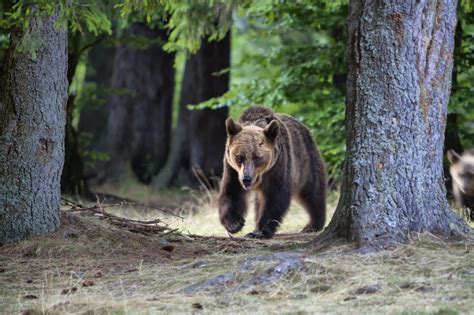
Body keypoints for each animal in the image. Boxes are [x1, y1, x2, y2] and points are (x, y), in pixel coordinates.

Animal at [218, 106, 326, 239]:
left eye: (257, 157)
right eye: (239, 157)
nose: (246, 179)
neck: (260, 176)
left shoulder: (278, 166)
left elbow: (275, 197)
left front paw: (261, 231)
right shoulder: (232, 170)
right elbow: (232, 192)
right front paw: (235, 223)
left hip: (306, 163)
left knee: (312, 192)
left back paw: (313, 224)